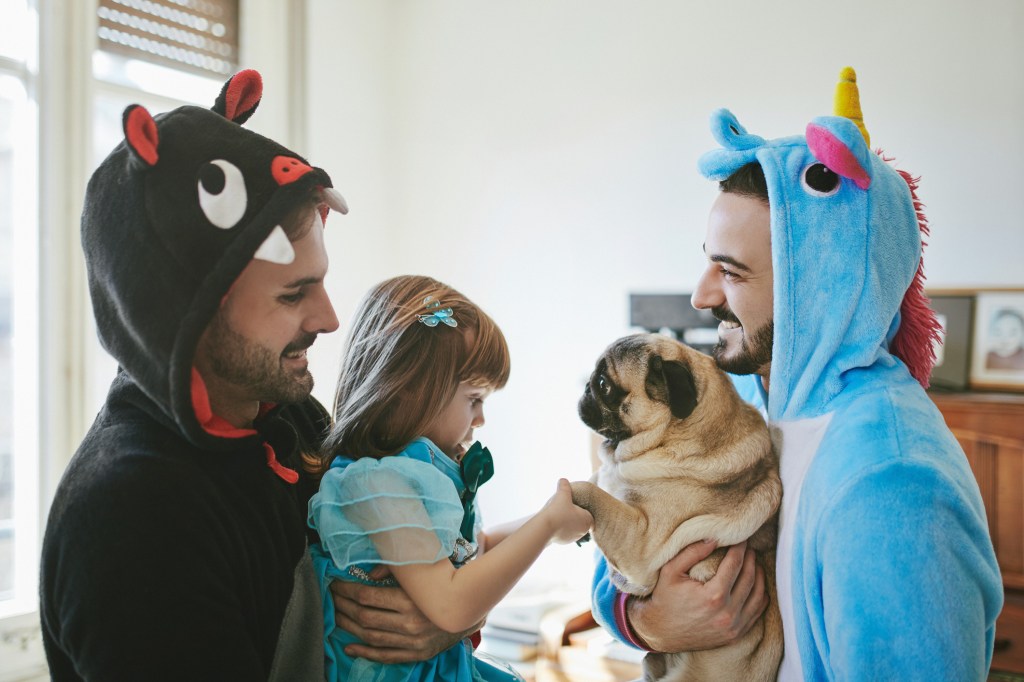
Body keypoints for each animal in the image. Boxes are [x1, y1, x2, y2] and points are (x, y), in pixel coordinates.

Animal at [573, 331, 778, 675]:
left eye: (603, 384)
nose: (585, 385)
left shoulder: (641, 541)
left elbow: (594, 493)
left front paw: (568, 495)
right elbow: (599, 478)